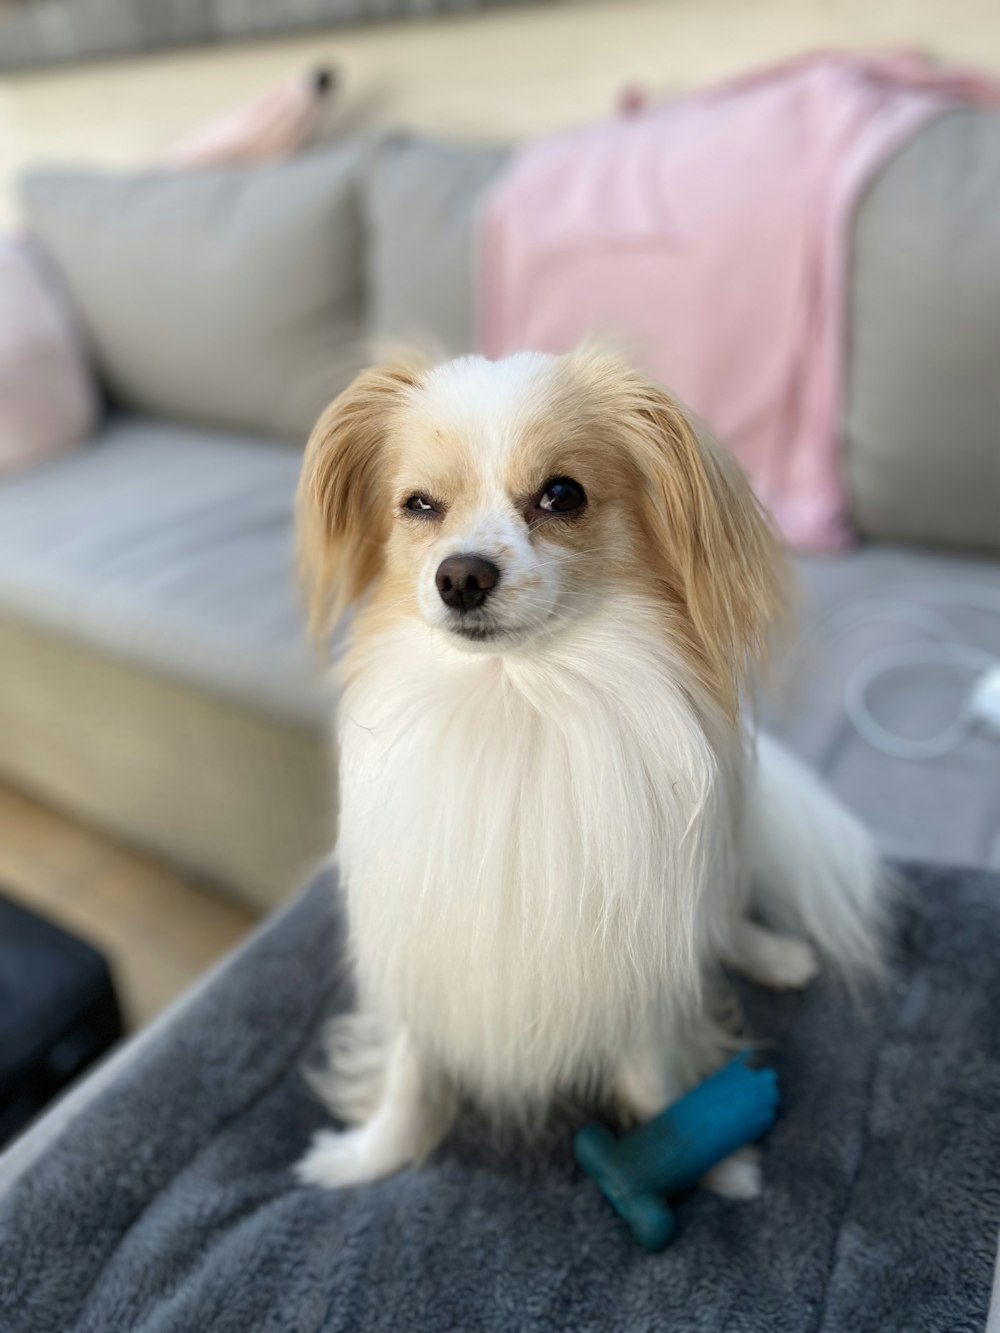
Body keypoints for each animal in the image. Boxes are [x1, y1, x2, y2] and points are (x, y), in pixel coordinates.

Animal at [293, 343, 890, 1199]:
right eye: (419, 505)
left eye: (562, 494)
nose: (461, 576)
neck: (516, 699)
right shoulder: (421, 940)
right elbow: (410, 1071)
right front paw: (368, 1156)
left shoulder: (637, 960)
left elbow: (653, 1076)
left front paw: (706, 1158)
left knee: (726, 915)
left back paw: (775, 956)